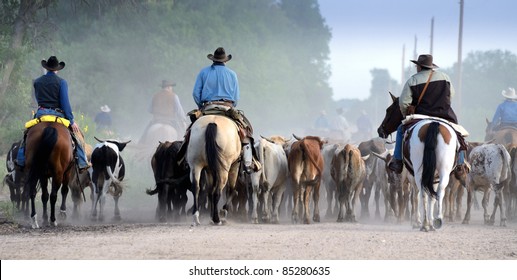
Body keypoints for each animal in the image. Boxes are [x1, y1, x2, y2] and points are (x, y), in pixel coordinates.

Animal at [376, 93, 458, 231]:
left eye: (389, 110)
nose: (380, 130)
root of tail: (433, 124)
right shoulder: (432, 176)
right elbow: (430, 196)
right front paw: (429, 221)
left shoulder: (412, 177)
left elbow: (416, 196)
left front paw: (419, 221)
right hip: (443, 171)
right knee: (439, 191)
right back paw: (437, 220)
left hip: (419, 172)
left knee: (421, 193)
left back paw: (424, 223)